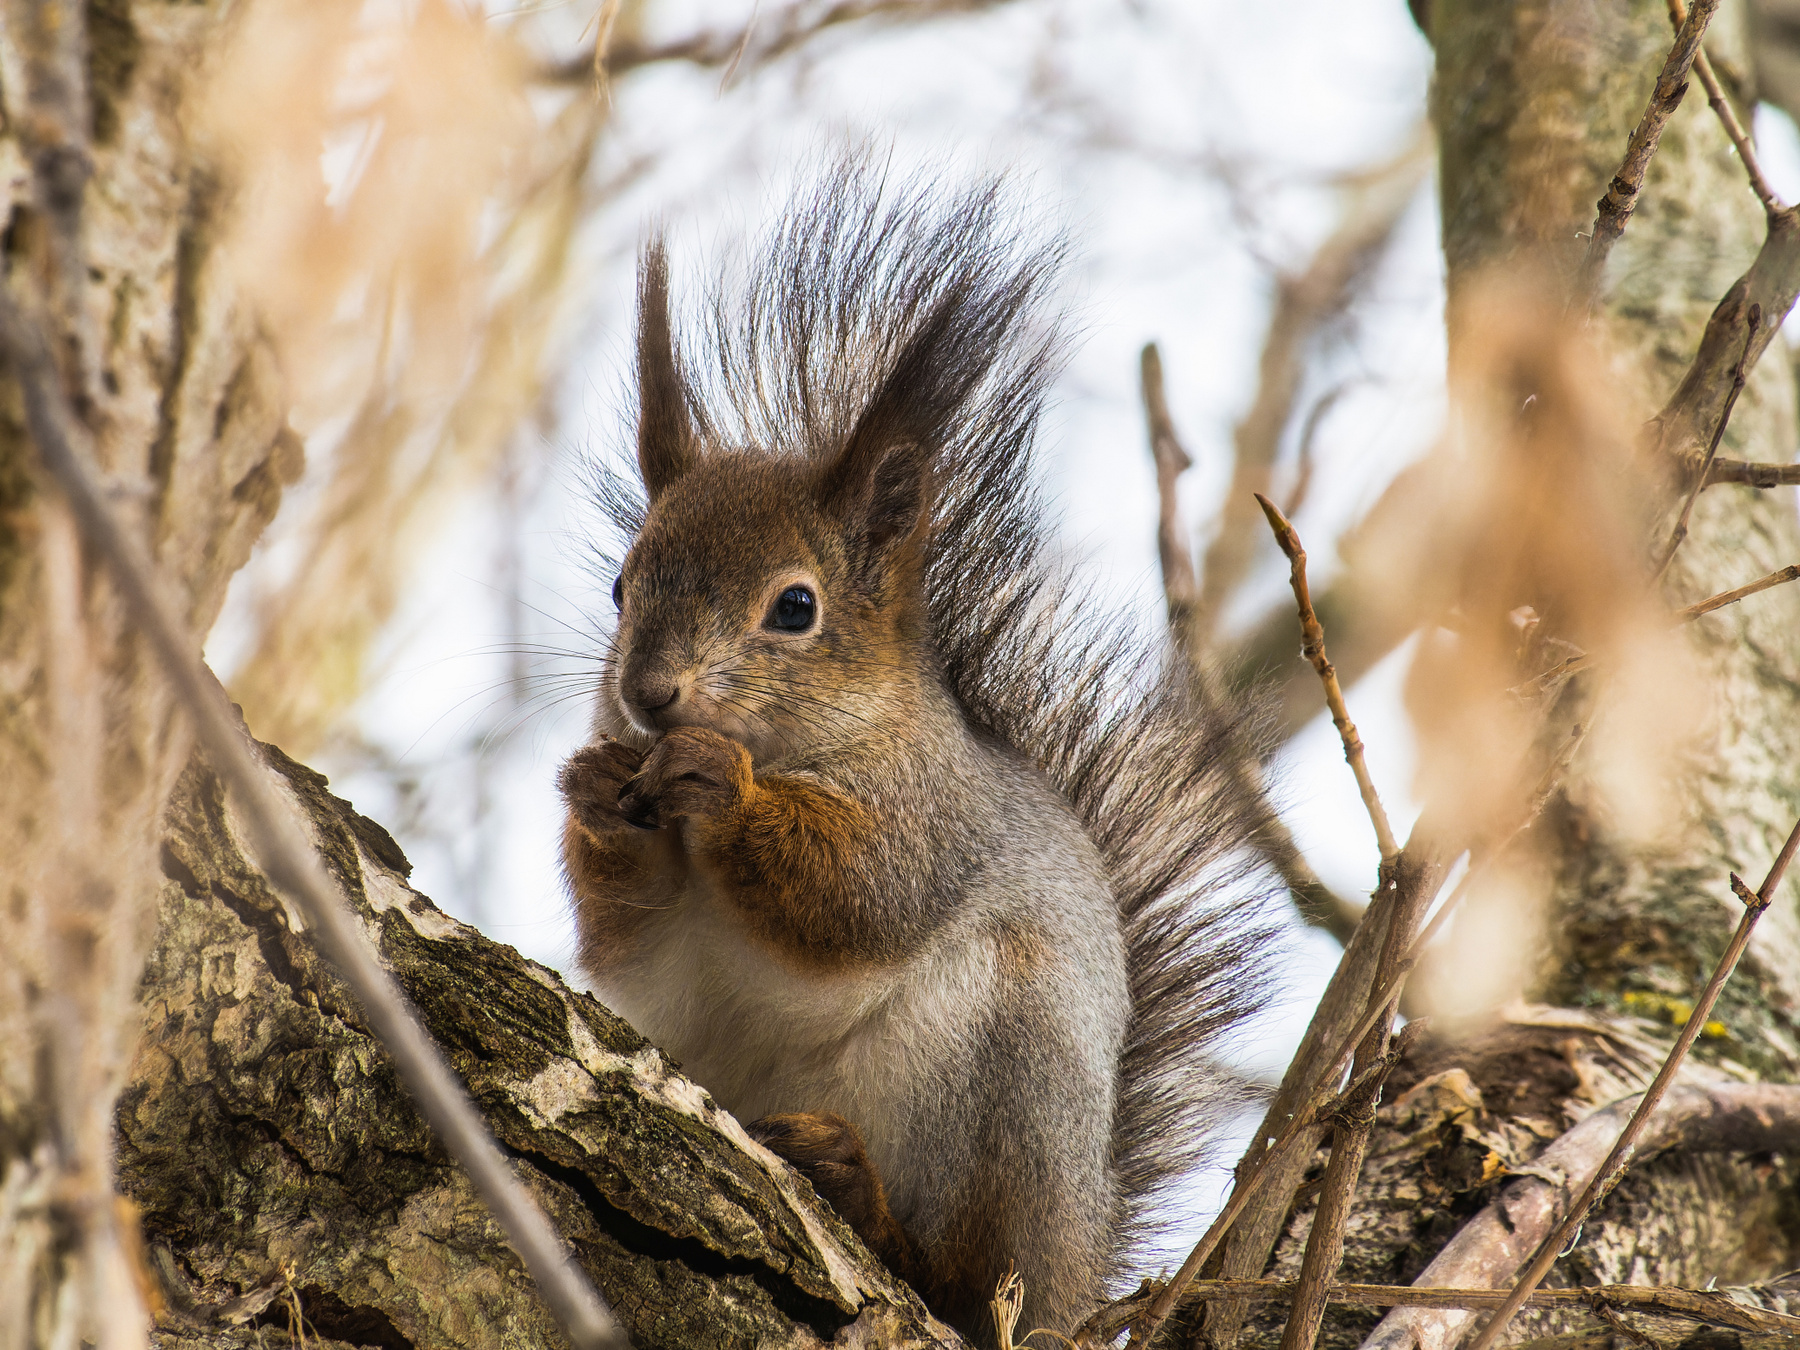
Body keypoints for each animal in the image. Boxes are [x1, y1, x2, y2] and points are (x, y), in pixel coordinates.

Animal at [558, 165, 1273, 1345]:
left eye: (795, 607)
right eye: (620, 586)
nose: (649, 698)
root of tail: (1079, 1275)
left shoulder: (935, 812)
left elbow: (864, 893)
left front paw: (722, 787)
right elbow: (625, 938)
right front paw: (592, 792)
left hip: (1006, 1092)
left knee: (967, 1281)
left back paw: (866, 1201)